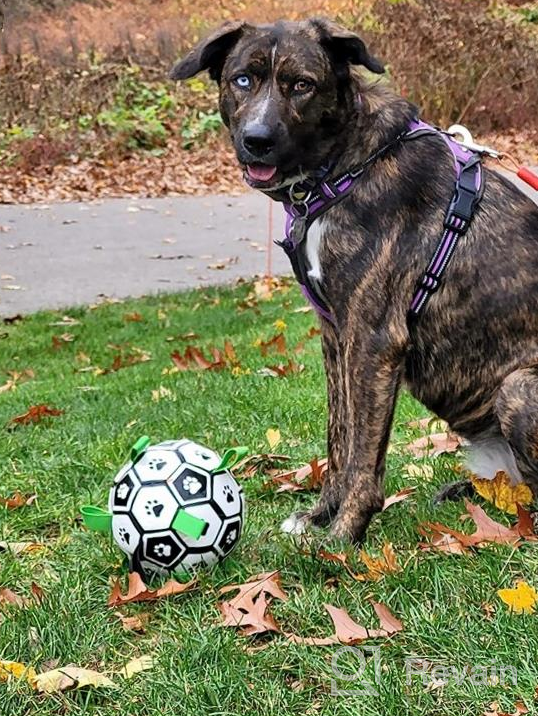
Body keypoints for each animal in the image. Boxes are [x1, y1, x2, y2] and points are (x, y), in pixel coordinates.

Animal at [170, 18, 536, 544]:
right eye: (243, 79)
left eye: (302, 85)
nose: (257, 139)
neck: (343, 166)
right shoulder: (335, 335)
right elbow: (339, 439)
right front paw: (320, 515)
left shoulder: (373, 339)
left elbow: (363, 452)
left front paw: (343, 536)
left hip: (518, 386)